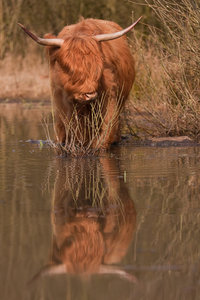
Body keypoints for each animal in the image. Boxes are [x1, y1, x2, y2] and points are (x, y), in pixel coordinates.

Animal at [18, 16, 141, 150]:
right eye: (69, 69)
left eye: (99, 68)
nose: (90, 94)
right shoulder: (61, 101)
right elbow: (68, 129)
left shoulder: (109, 97)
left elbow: (106, 128)